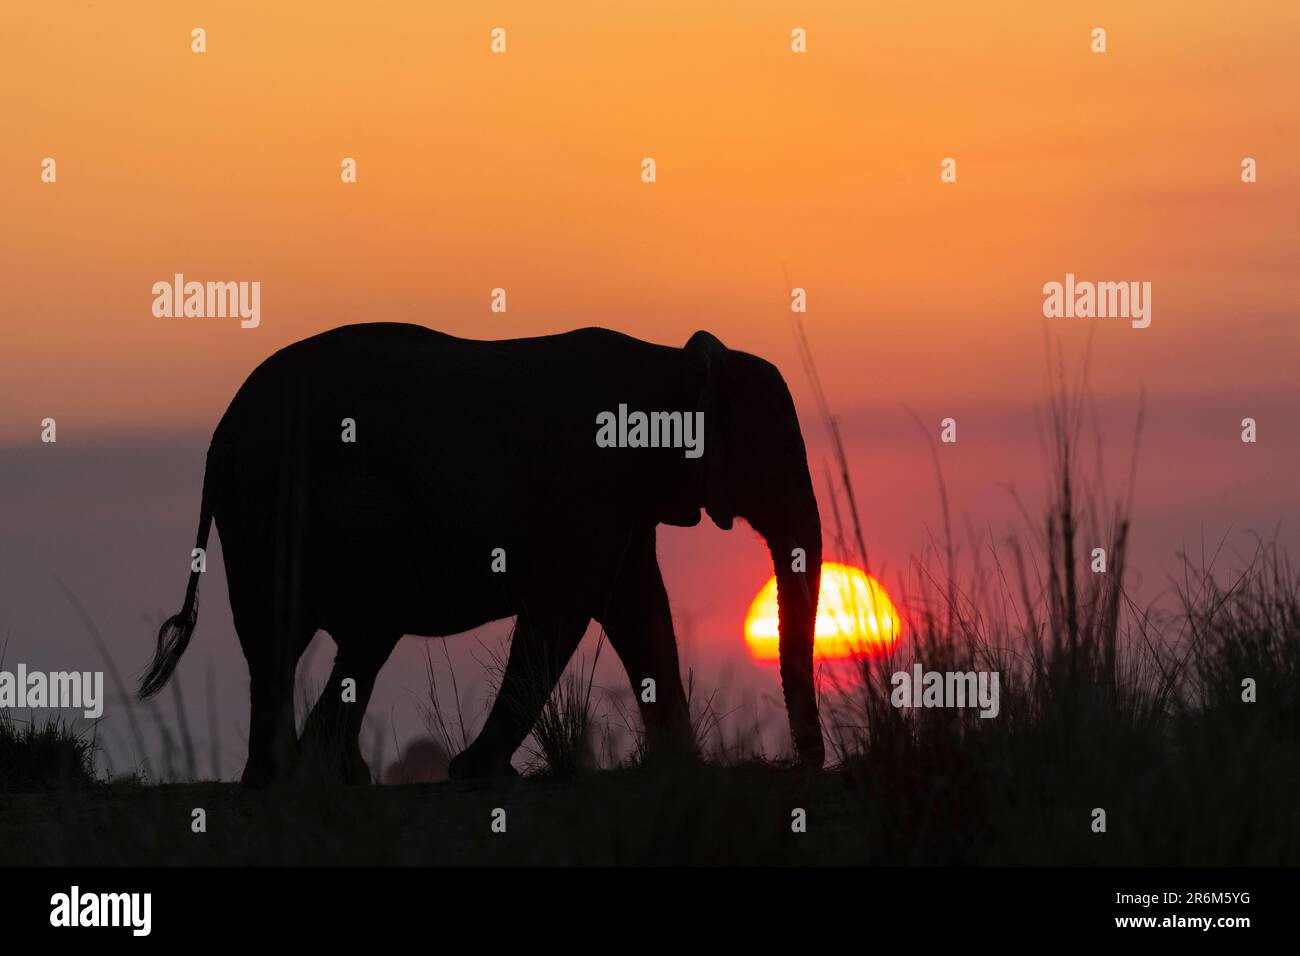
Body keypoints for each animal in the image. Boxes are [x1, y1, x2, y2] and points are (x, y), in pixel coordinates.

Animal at [139, 321, 821, 785]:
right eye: (774, 454)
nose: (808, 767)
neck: (669, 363)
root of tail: (218, 438)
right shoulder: (589, 487)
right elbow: (564, 610)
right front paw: (478, 775)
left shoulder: (620, 502)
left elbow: (637, 608)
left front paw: (684, 770)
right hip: (295, 500)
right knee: (358, 626)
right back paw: (315, 778)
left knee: (285, 641)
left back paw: (293, 779)